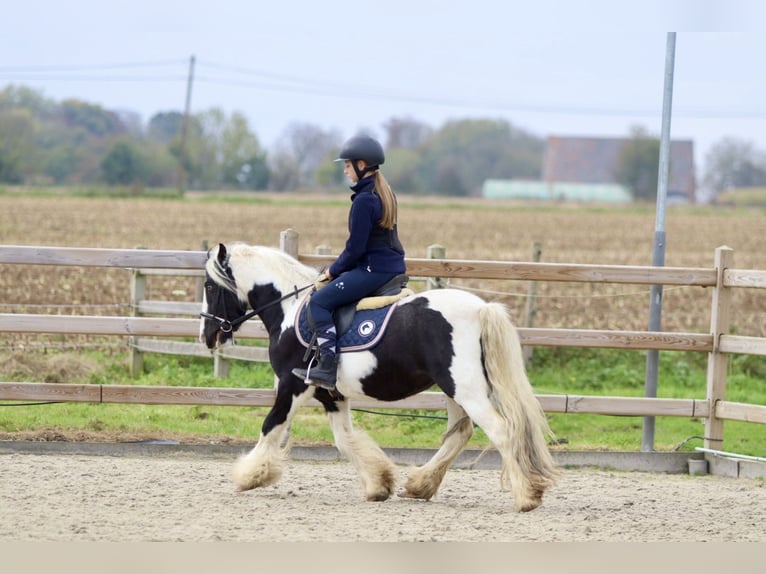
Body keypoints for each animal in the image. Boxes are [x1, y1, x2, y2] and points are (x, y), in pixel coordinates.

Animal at [198, 243, 560, 512]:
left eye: (208, 285)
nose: (207, 335)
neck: (290, 310)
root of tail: (481, 308)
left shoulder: (293, 385)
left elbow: (271, 426)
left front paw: (250, 476)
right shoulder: (331, 394)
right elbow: (345, 439)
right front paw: (379, 485)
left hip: (466, 389)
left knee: (502, 431)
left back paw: (526, 496)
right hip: (454, 390)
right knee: (460, 434)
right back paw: (419, 485)